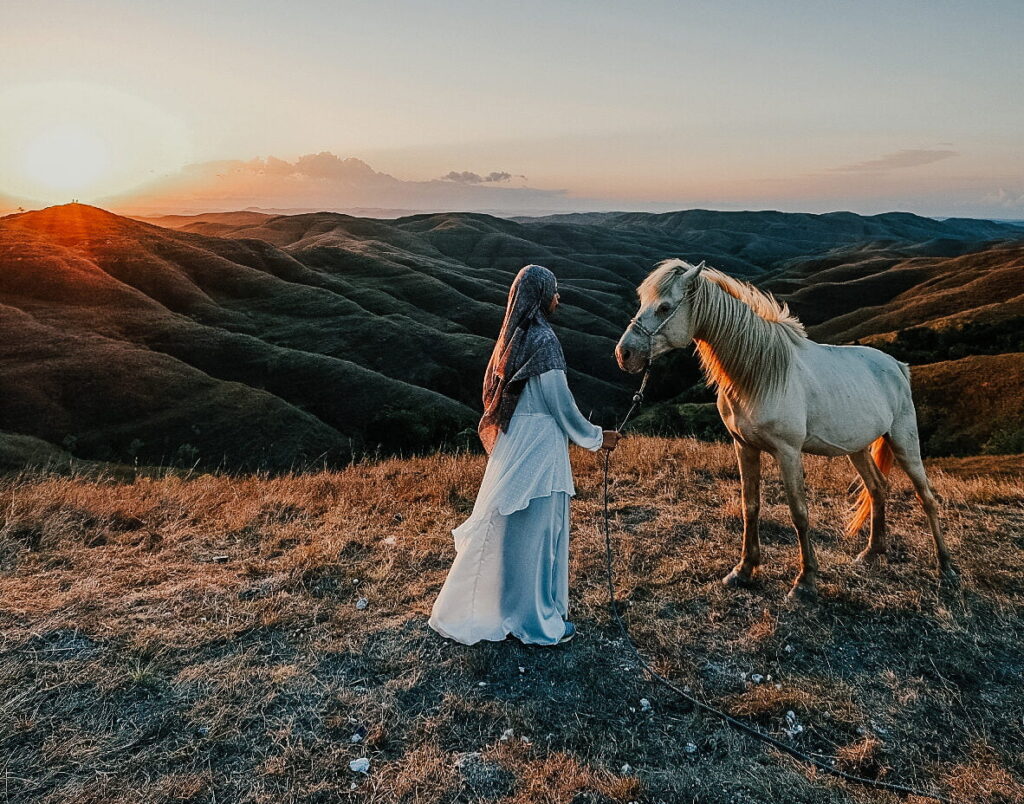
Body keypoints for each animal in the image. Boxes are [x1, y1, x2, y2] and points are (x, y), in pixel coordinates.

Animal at [610, 260, 954, 598]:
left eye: (665, 307)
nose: (624, 354)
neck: (759, 373)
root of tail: (897, 366)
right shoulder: (744, 446)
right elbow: (750, 506)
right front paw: (743, 570)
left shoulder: (788, 452)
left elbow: (799, 512)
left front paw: (805, 580)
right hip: (856, 447)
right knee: (877, 488)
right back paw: (871, 552)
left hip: (904, 440)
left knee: (926, 496)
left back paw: (945, 566)